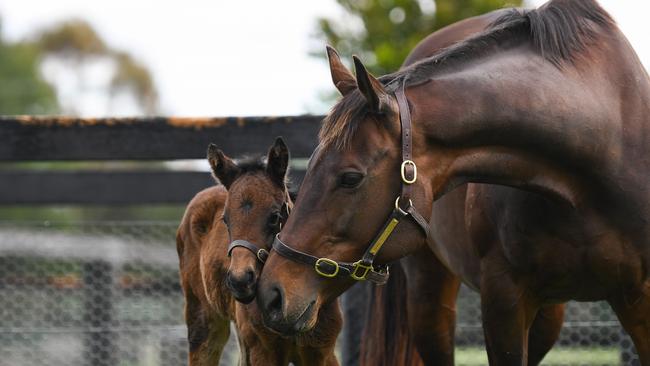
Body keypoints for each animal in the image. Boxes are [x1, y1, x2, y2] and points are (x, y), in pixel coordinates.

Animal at [176, 138, 340, 366]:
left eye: (274, 216)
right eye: (225, 219)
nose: (240, 280)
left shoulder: (320, 350)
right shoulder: (263, 350)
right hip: (203, 320)